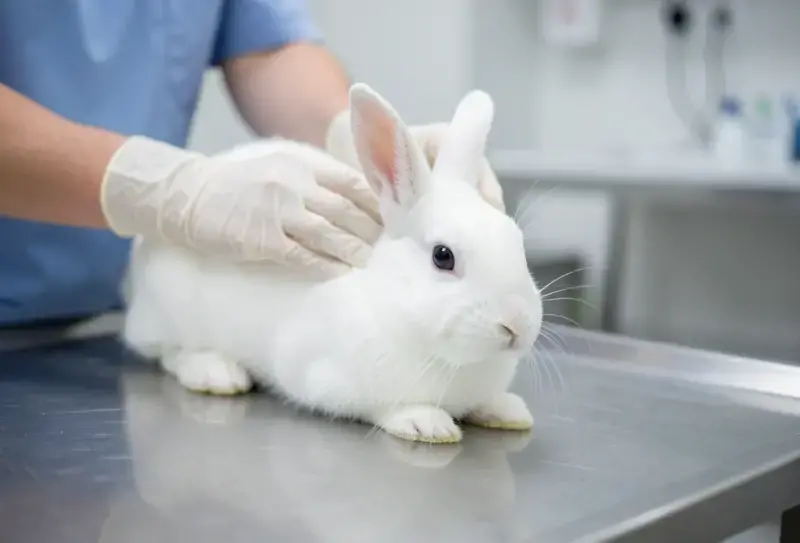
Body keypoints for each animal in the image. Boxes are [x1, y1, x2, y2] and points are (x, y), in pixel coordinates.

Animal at [122, 82, 544, 444]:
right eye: (443, 256)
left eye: (516, 241)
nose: (517, 325)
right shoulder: (322, 377)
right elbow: (380, 406)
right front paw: (425, 422)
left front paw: (507, 410)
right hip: (169, 313)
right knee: (169, 354)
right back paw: (217, 373)